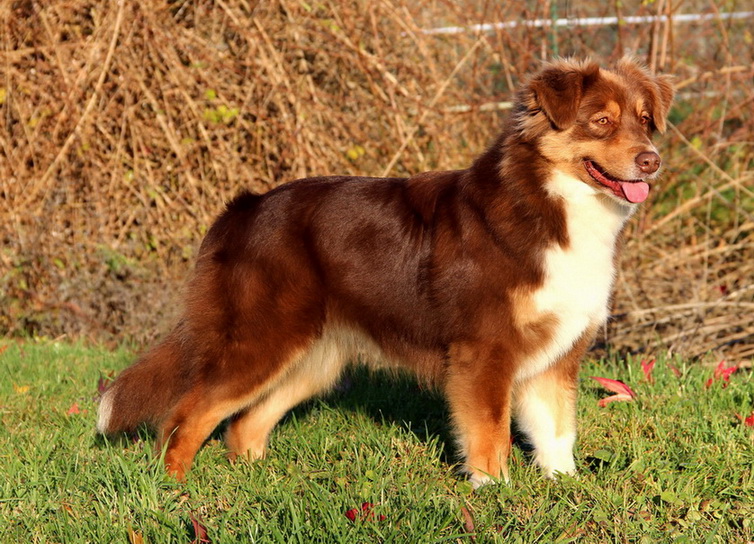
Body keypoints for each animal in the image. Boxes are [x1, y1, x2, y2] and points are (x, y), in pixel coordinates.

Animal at [97, 57, 672, 486]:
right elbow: (490, 434)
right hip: (261, 339)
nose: (652, 161)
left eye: (645, 120)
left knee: (243, 425)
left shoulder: (556, 355)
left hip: (313, 356)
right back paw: (175, 490)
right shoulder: (484, 351)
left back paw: (260, 481)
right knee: (186, 416)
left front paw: (566, 489)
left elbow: (556, 431)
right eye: (601, 120)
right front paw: (494, 494)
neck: (552, 202)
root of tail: (245, 207)